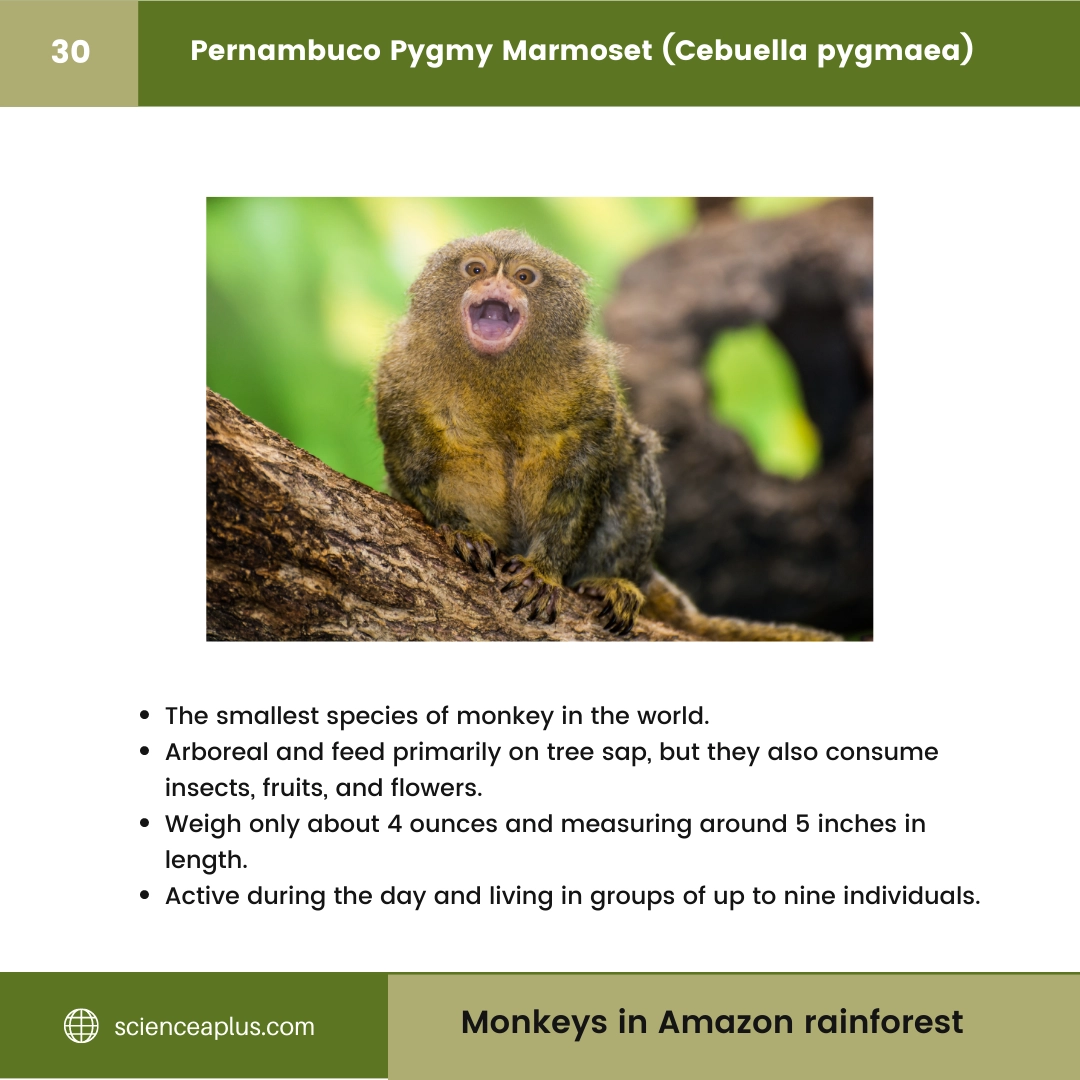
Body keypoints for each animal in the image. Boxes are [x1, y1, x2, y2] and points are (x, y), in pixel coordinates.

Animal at [375, 230, 838, 641]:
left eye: (525, 277)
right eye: (475, 269)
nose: (497, 285)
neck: (495, 374)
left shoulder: (591, 386)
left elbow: (580, 482)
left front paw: (544, 571)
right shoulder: (399, 375)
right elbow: (410, 468)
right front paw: (460, 530)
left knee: (629, 463)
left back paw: (612, 582)